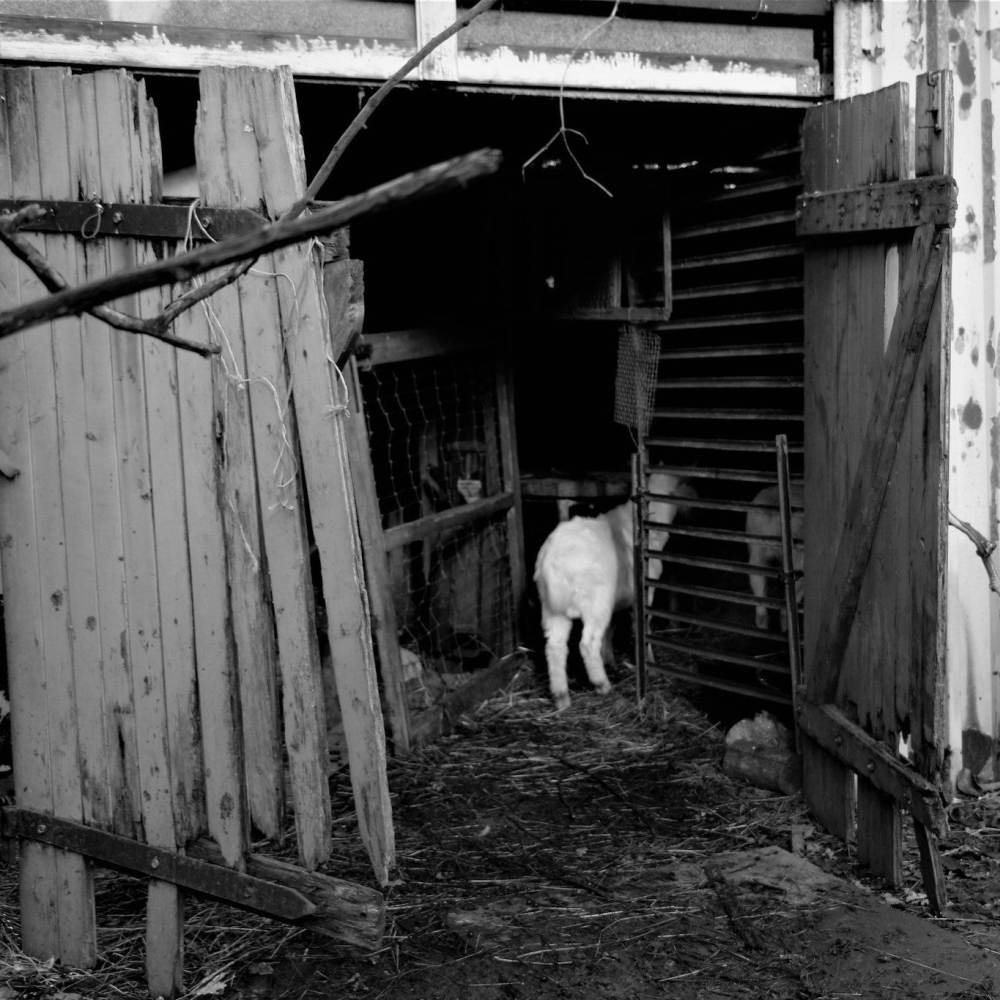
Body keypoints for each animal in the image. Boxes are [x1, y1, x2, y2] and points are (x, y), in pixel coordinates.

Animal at [536, 472, 692, 708]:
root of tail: (554, 562)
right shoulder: (643, 594)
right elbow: (641, 626)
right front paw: (648, 663)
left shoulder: (618, 601)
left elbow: (611, 629)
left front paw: (610, 659)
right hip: (595, 603)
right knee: (587, 643)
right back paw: (602, 685)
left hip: (552, 608)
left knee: (555, 646)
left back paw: (562, 697)